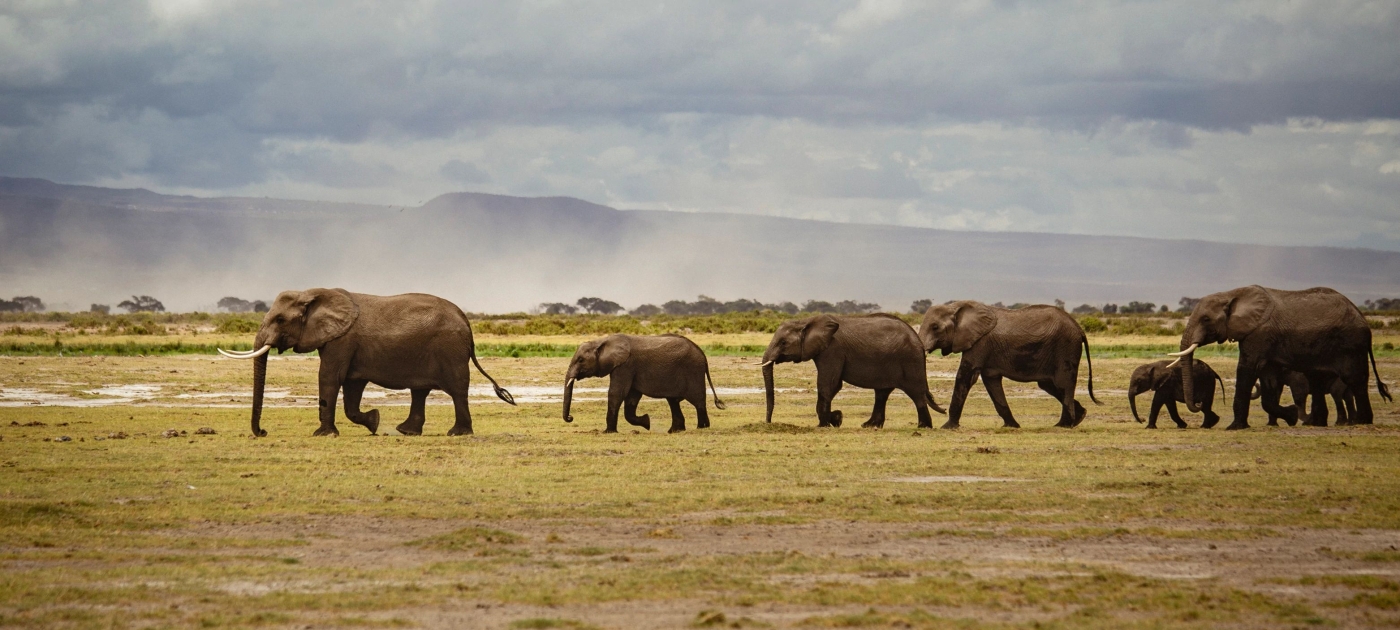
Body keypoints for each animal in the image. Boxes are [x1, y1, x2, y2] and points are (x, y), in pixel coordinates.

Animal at [221, 288, 518, 436]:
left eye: (280, 319)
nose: (263, 432)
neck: (313, 293)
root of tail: (466, 320)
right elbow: (352, 386)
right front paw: (374, 422)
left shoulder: (342, 340)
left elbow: (329, 377)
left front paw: (323, 435)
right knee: (420, 391)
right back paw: (407, 432)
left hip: (450, 350)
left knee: (457, 389)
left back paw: (458, 433)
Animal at [560, 334, 728, 434]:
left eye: (580, 360)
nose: (570, 417)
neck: (601, 341)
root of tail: (703, 355)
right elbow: (631, 398)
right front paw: (647, 422)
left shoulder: (625, 366)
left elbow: (616, 393)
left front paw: (608, 432)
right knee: (673, 401)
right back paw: (675, 431)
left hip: (693, 371)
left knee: (697, 401)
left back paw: (702, 427)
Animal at [761, 313, 946, 428]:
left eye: (783, 343)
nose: (768, 422)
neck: (806, 321)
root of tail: (919, 342)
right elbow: (834, 386)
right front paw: (836, 419)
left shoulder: (832, 350)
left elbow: (828, 384)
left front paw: (825, 424)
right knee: (882, 393)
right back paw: (869, 426)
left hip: (909, 361)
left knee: (916, 394)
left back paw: (924, 426)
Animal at [918, 299, 1103, 428]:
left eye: (935, 327)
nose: (941, 409)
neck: (956, 306)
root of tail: (1079, 328)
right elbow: (991, 382)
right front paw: (1011, 426)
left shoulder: (980, 343)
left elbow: (965, 377)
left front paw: (947, 427)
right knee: (1050, 385)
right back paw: (1079, 418)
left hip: (1066, 347)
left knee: (1063, 383)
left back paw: (1063, 425)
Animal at [1170, 287, 1388, 431]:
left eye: (1206, 319)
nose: (1198, 404)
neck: (1231, 294)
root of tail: (1362, 316)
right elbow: (1269, 380)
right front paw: (1291, 416)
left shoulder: (1259, 334)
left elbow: (1247, 369)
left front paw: (1234, 427)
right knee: (1317, 380)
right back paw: (1315, 423)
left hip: (1351, 344)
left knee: (1355, 379)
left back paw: (1363, 421)